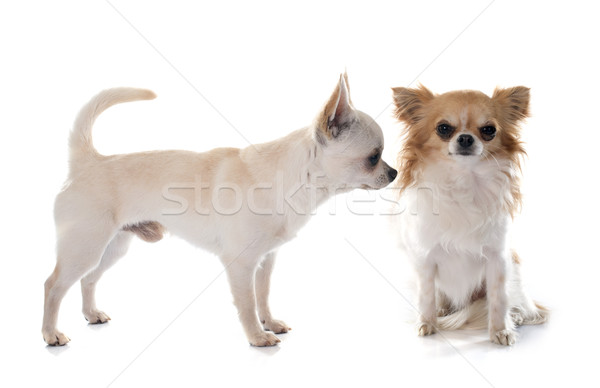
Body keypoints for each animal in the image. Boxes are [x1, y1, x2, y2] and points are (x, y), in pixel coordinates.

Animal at [43, 74, 398, 348]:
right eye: (374, 157)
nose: (394, 173)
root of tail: (88, 161)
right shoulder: (241, 264)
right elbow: (247, 303)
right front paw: (257, 336)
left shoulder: (265, 260)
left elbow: (263, 295)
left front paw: (269, 322)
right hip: (85, 248)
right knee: (53, 285)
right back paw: (50, 333)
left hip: (111, 248)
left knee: (88, 280)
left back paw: (91, 314)